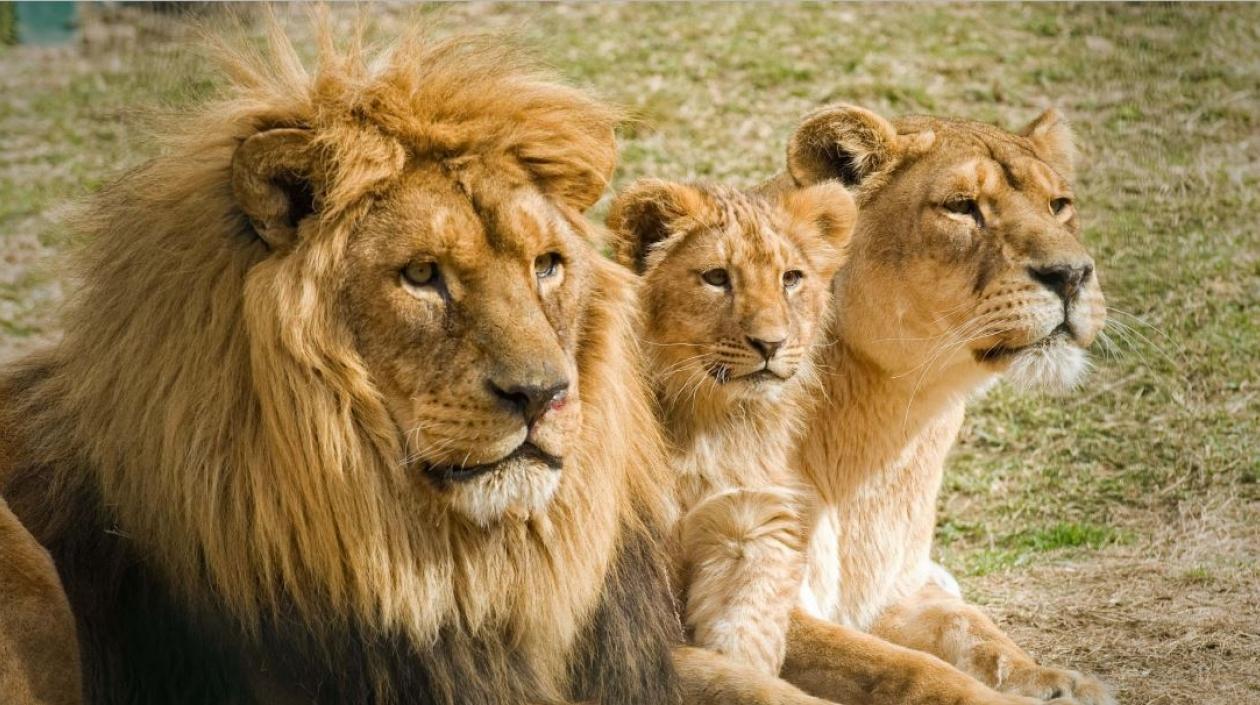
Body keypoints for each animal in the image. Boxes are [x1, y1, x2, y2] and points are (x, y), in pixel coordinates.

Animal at [606, 179, 855, 674]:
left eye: (791, 278)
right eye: (717, 277)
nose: (771, 344)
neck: (708, 420)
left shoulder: (751, 525)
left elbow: (745, 641)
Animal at [754, 104, 1115, 705]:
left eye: (1059, 205)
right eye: (962, 207)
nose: (1072, 275)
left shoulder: (896, 589)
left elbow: (974, 629)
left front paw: (1055, 682)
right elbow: (902, 668)